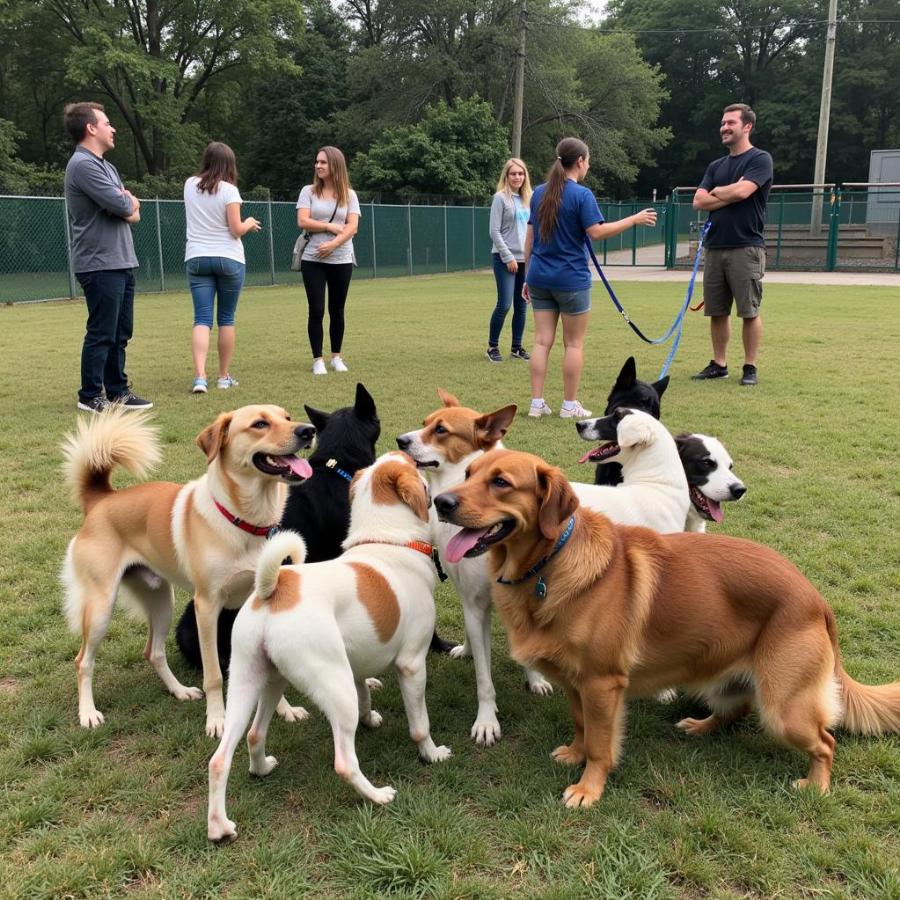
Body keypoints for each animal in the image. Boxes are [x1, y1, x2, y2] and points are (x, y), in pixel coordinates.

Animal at [59, 406, 312, 740]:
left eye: (287, 417)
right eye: (260, 424)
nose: (308, 431)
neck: (244, 522)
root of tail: (101, 498)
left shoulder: (259, 601)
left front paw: (284, 709)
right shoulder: (206, 607)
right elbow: (214, 674)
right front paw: (217, 720)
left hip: (162, 602)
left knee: (153, 652)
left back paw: (179, 691)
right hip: (100, 609)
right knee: (82, 662)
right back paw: (88, 713)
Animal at [209, 454, 450, 848]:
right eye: (411, 465)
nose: (412, 451)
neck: (385, 539)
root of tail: (274, 589)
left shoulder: (356, 663)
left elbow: (365, 690)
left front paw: (371, 719)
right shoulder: (412, 665)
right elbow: (420, 725)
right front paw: (431, 754)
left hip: (256, 680)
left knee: (232, 750)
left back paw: (227, 816)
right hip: (333, 686)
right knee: (344, 762)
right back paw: (377, 795)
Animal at [434, 444, 900, 808]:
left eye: (501, 483)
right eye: (469, 474)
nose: (440, 503)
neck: (550, 563)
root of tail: (815, 597)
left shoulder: (602, 685)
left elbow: (601, 744)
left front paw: (589, 788)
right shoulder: (577, 685)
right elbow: (582, 727)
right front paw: (575, 753)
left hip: (784, 707)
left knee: (825, 742)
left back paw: (816, 785)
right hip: (729, 682)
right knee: (736, 709)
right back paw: (700, 726)